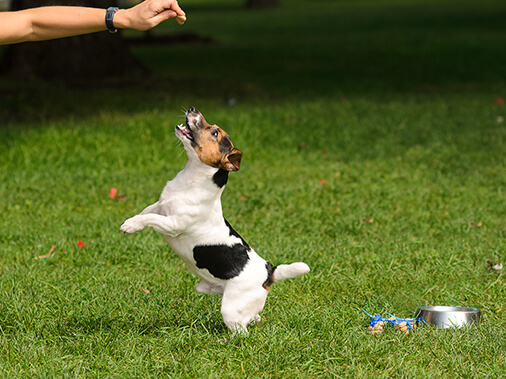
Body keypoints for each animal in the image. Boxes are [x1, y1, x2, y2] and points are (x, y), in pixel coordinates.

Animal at [119, 107, 308, 336]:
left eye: (215, 133)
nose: (193, 109)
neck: (191, 179)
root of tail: (269, 271)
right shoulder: (162, 205)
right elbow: (147, 212)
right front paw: (132, 221)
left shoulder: (173, 224)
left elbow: (151, 218)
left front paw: (130, 226)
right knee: (254, 317)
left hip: (231, 308)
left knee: (241, 332)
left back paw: (226, 340)